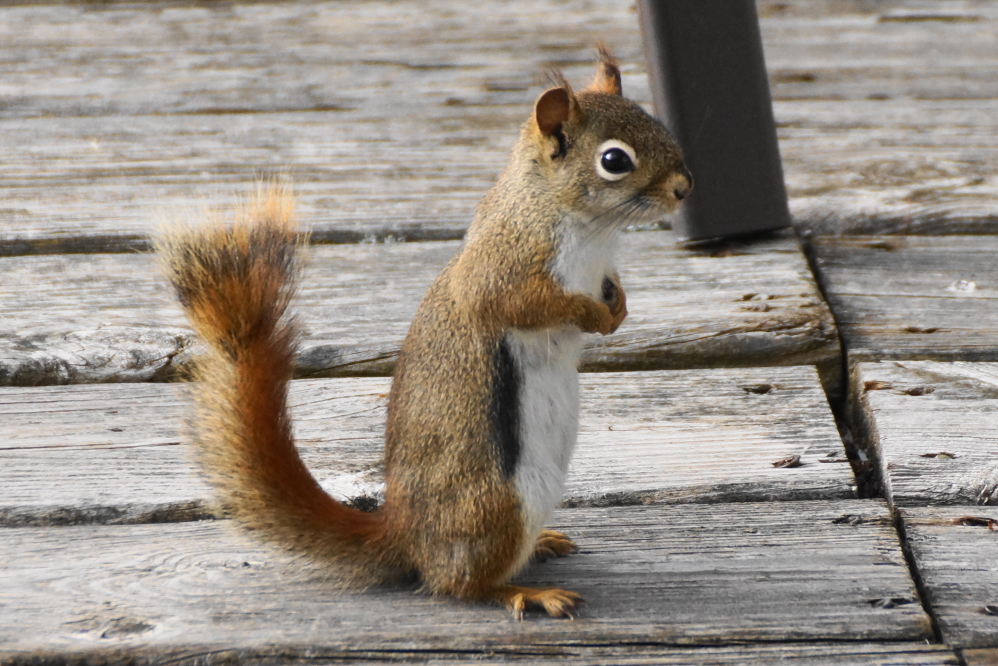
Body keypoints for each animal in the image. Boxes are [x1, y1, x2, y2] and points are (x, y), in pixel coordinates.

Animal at [157, 47, 691, 620]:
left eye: (656, 122)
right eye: (615, 160)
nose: (684, 188)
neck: (585, 229)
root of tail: (406, 537)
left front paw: (618, 310)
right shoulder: (503, 266)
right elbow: (520, 302)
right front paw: (593, 316)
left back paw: (542, 547)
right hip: (496, 505)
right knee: (457, 584)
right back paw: (524, 591)